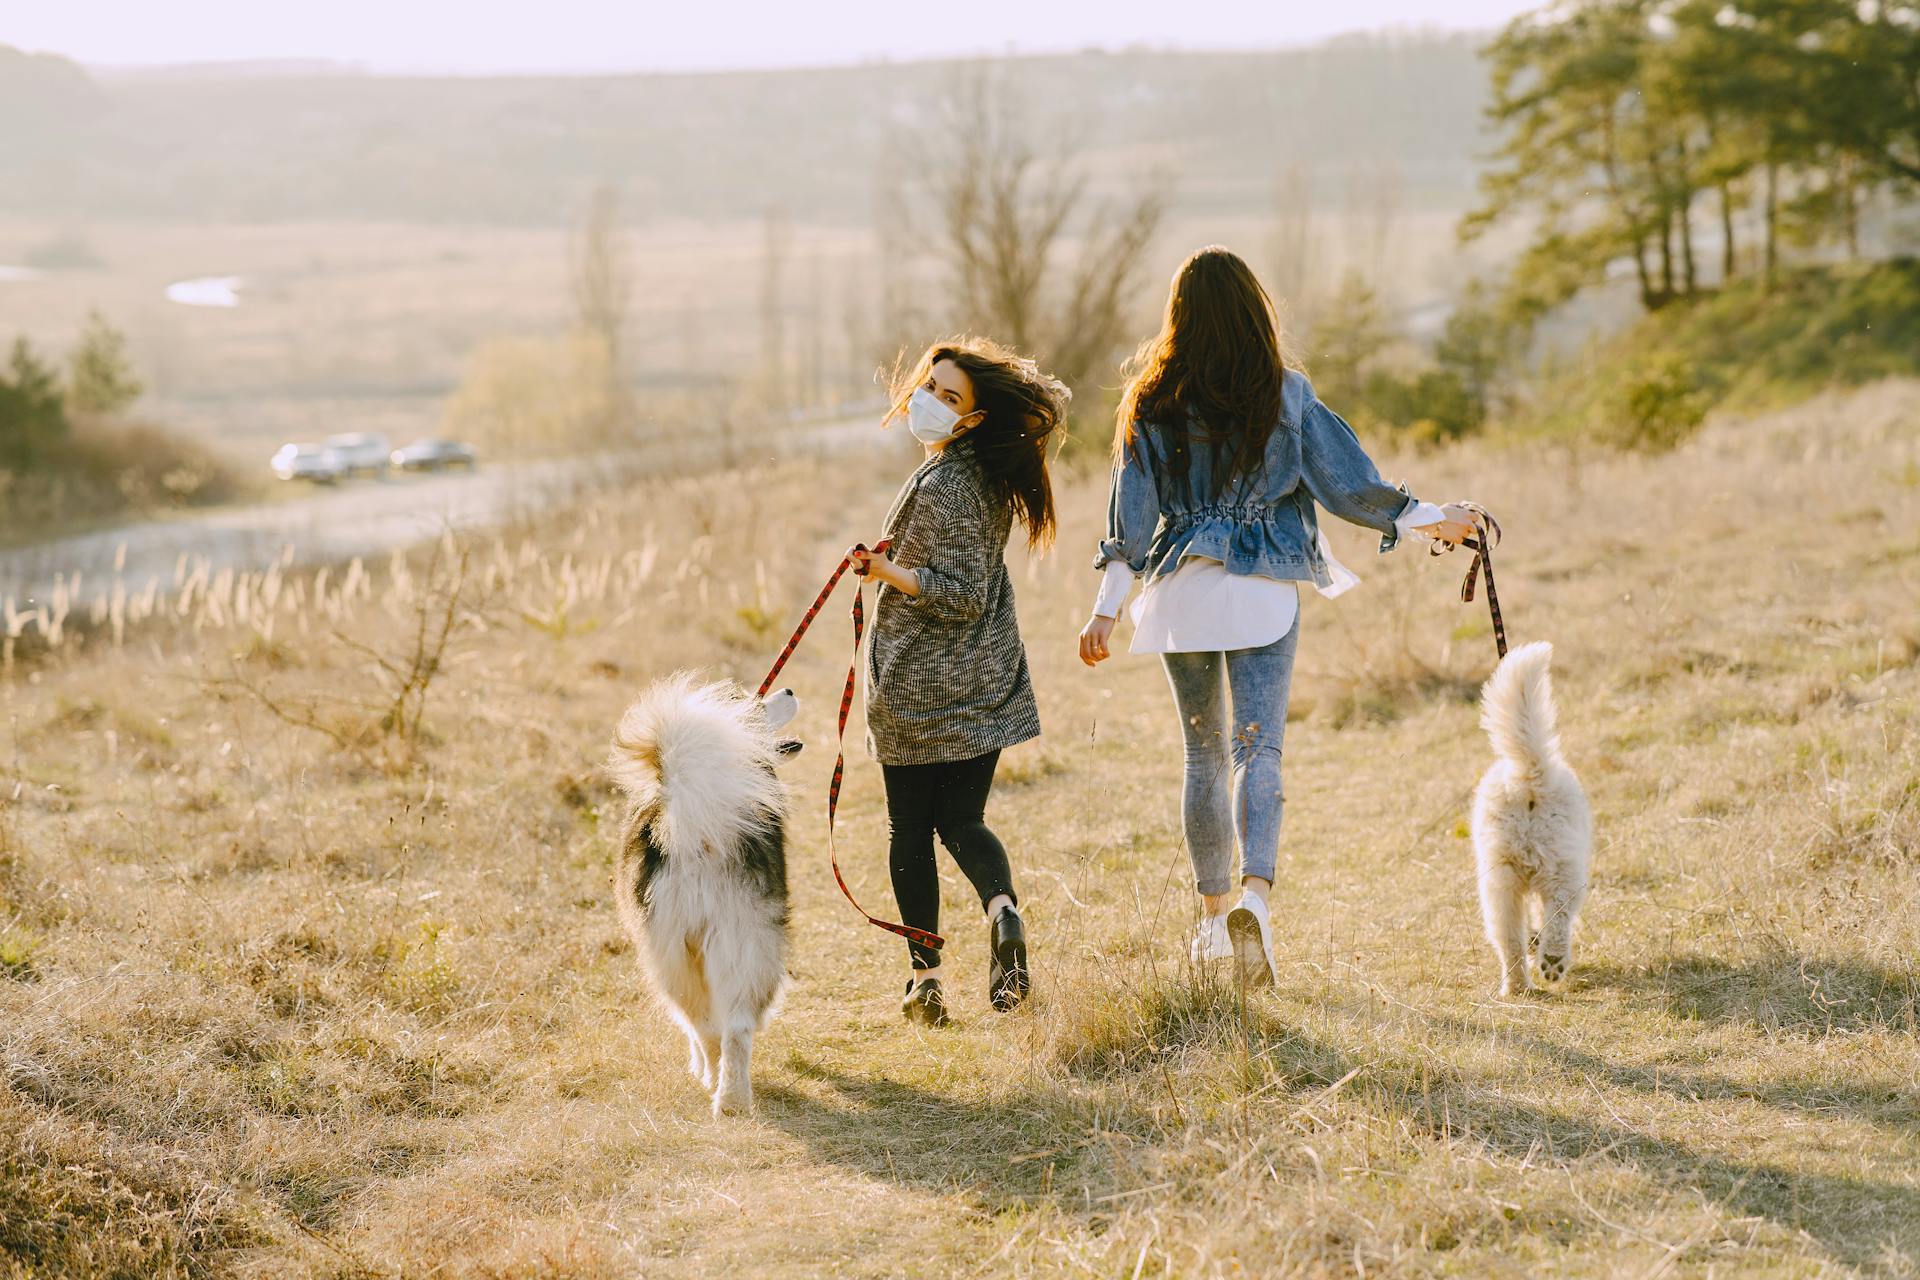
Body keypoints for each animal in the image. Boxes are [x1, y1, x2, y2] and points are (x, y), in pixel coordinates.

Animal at [606, 675, 802, 1113]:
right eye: (756, 704)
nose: (789, 691)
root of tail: (696, 836)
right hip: (734, 940)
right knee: (728, 1028)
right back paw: (730, 1099)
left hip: (678, 952)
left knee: (708, 1026)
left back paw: (717, 1085)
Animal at [1466, 644, 1589, 997]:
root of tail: (1529, 775)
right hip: (1565, 868)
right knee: (1559, 915)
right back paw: (1553, 960)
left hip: (1499, 881)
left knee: (1509, 941)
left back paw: (1517, 986)